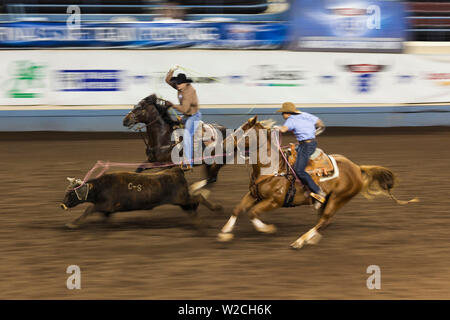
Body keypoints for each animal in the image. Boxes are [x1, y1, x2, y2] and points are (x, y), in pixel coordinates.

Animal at [218, 116, 418, 249]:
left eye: (241, 131)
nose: (224, 144)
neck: (273, 167)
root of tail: (357, 168)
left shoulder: (275, 201)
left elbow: (253, 213)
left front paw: (267, 229)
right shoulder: (254, 194)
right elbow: (238, 209)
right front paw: (224, 232)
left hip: (338, 198)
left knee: (325, 219)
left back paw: (300, 241)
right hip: (329, 200)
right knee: (324, 220)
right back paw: (310, 238)